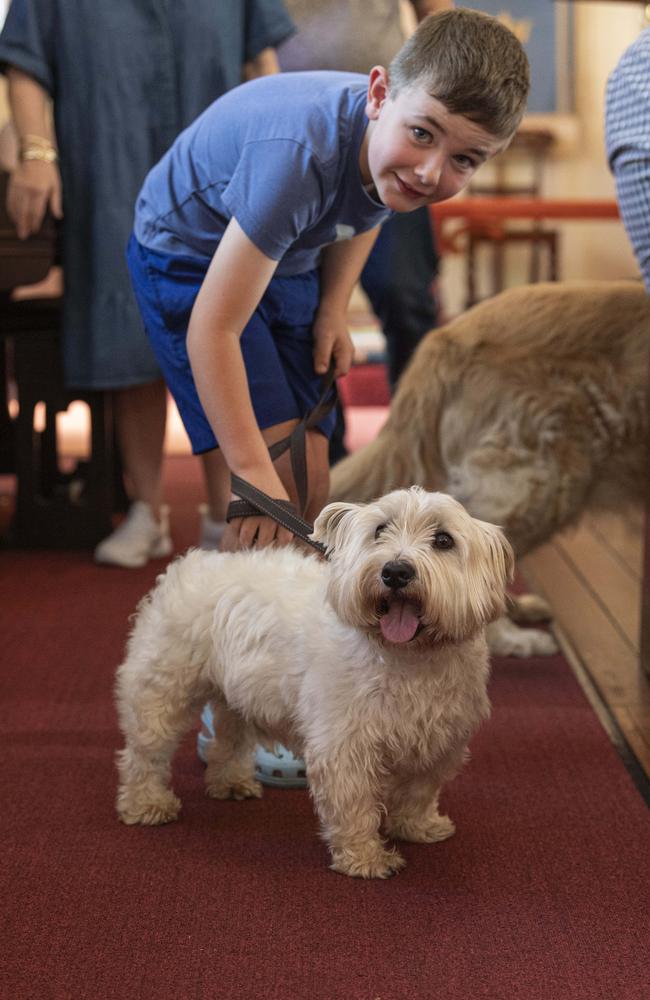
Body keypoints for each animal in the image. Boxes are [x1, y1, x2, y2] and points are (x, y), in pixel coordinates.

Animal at [115, 488, 512, 880]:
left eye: (444, 540)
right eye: (380, 530)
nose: (396, 571)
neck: (408, 658)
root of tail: (190, 563)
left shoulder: (439, 742)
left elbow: (419, 792)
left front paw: (419, 827)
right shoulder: (345, 745)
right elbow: (354, 805)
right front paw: (364, 858)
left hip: (239, 695)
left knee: (229, 738)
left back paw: (229, 782)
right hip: (162, 689)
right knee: (145, 754)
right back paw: (147, 804)